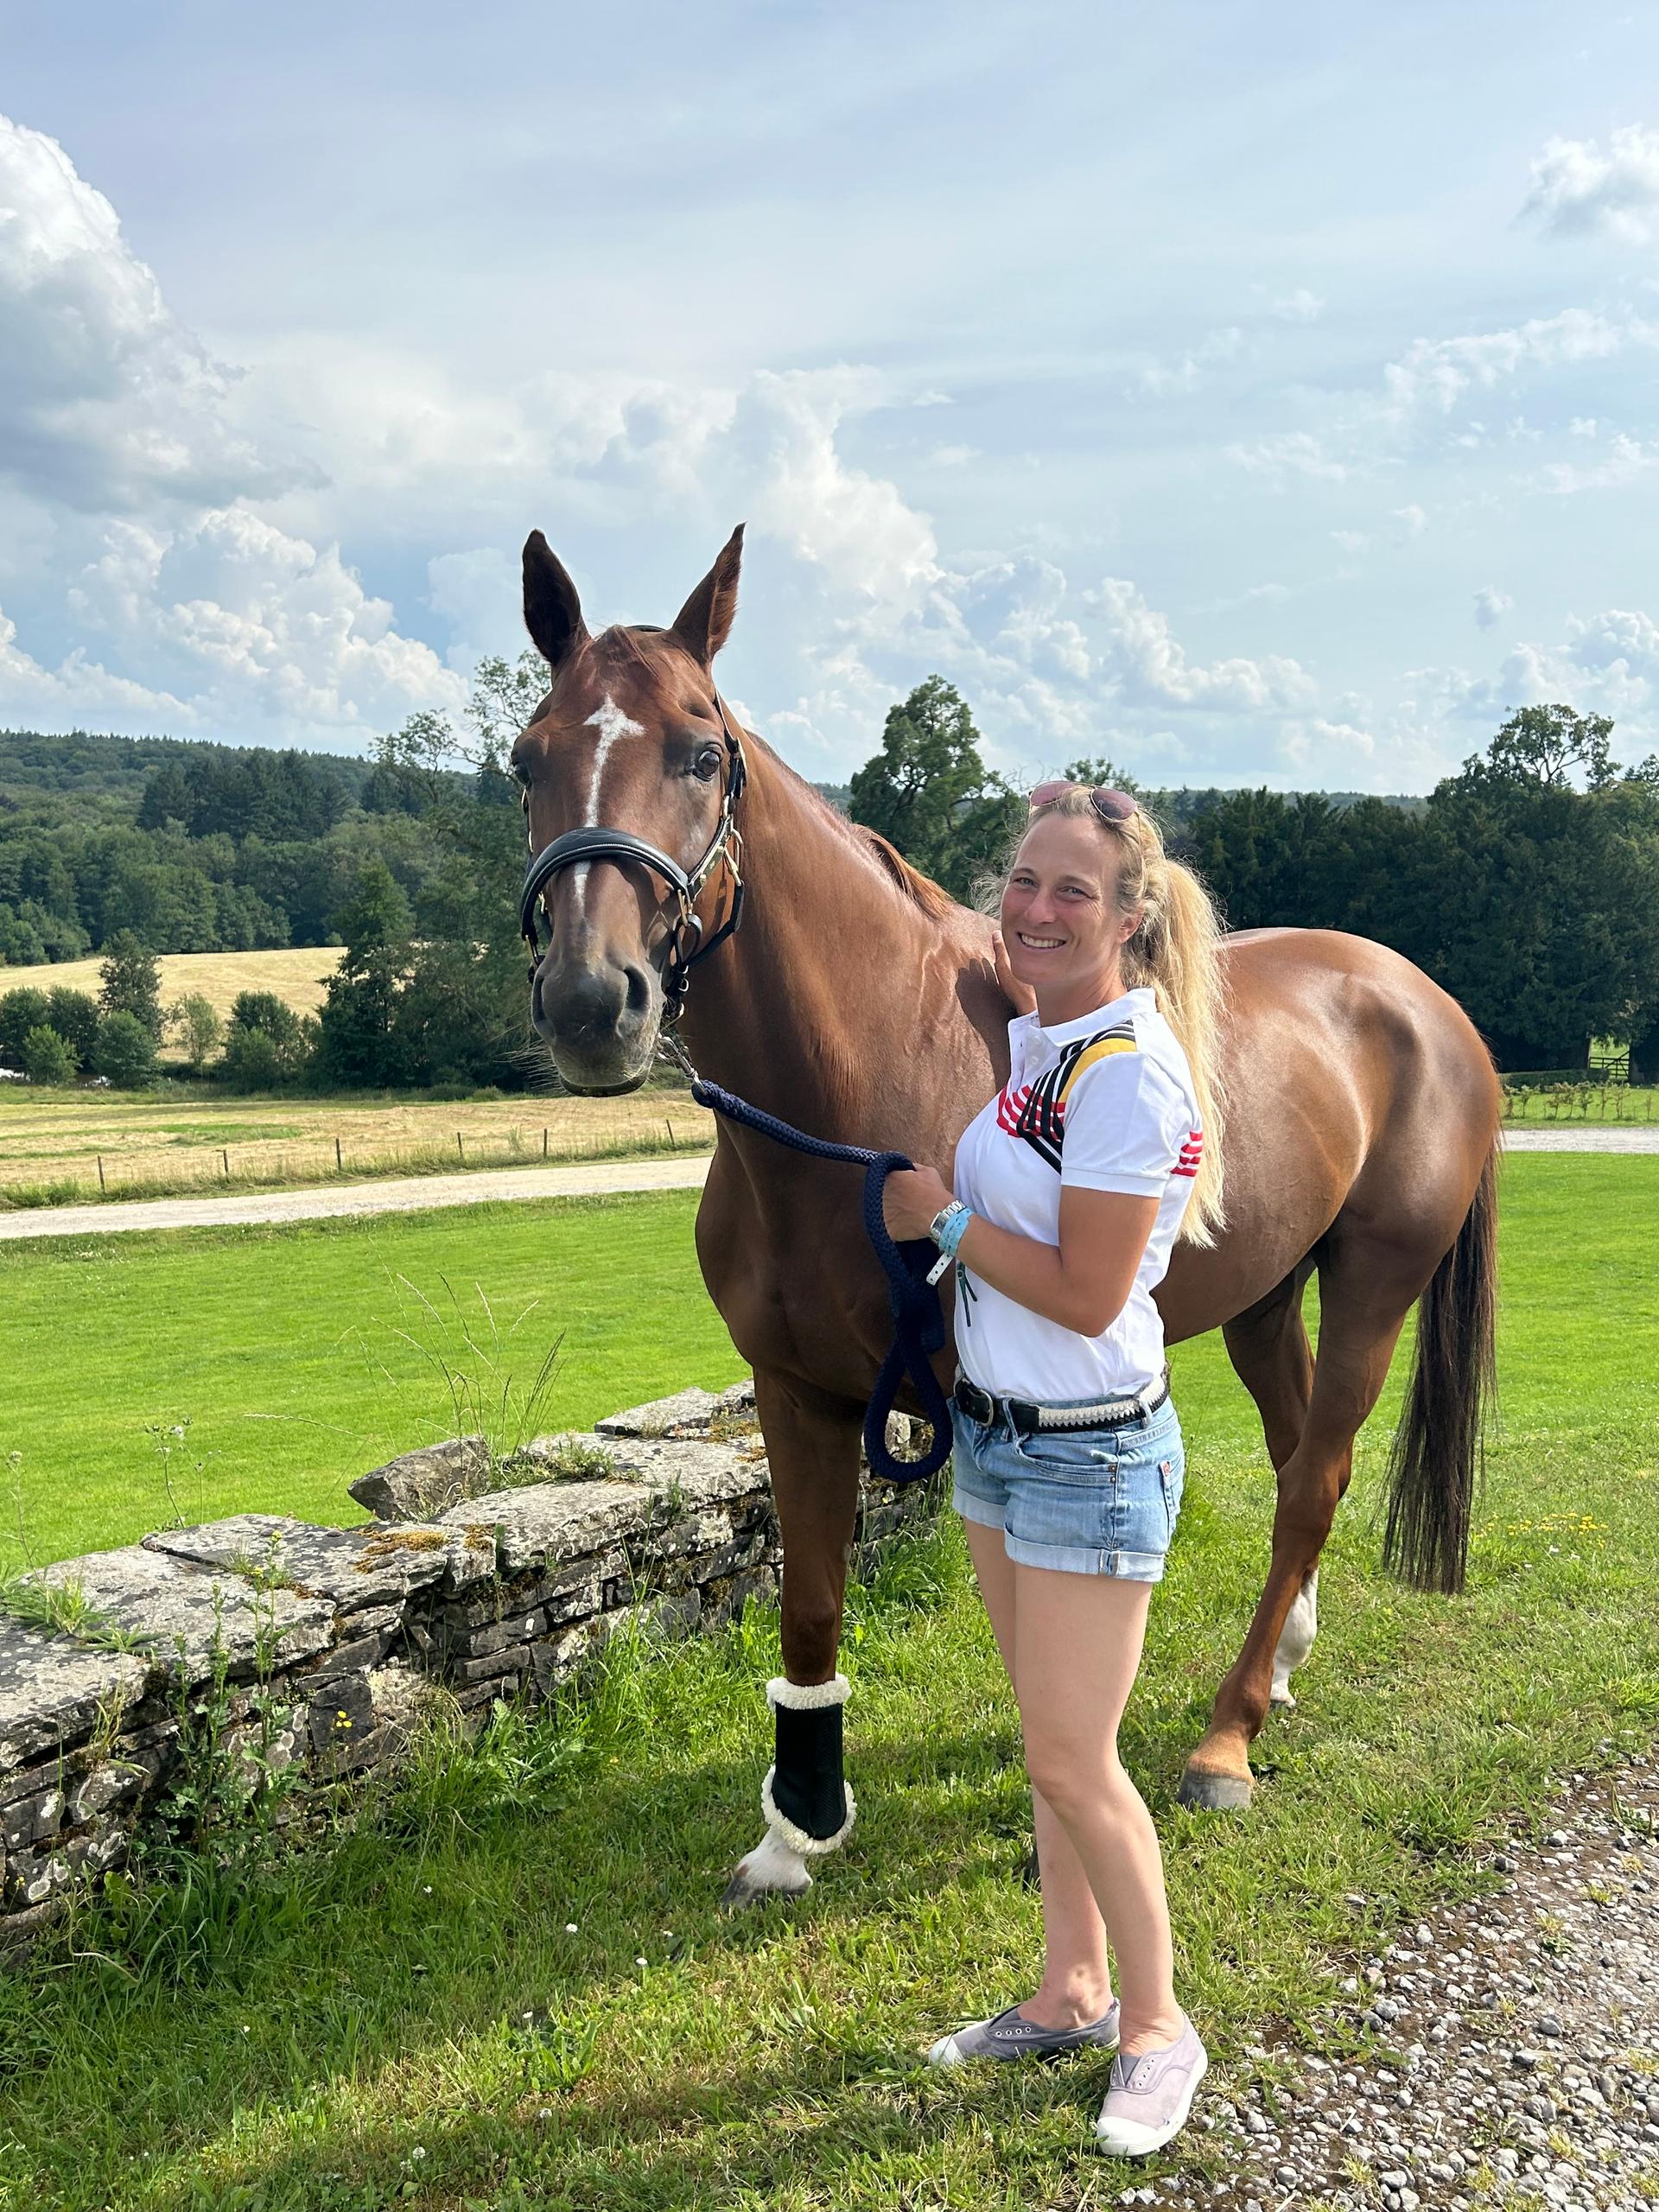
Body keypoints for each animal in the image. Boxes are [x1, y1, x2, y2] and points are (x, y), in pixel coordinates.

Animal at [510, 523, 1501, 1905]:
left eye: (702, 754)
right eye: (526, 760)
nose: (594, 1003)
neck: (849, 1096)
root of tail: (1425, 1000)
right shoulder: (798, 1391)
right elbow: (809, 1604)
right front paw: (796, 1830)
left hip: (1374, 1285)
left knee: (1313, 1480)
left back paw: (1227, 1736)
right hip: (1265, 1294)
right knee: (1306, 1456)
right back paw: (1284, 1665)